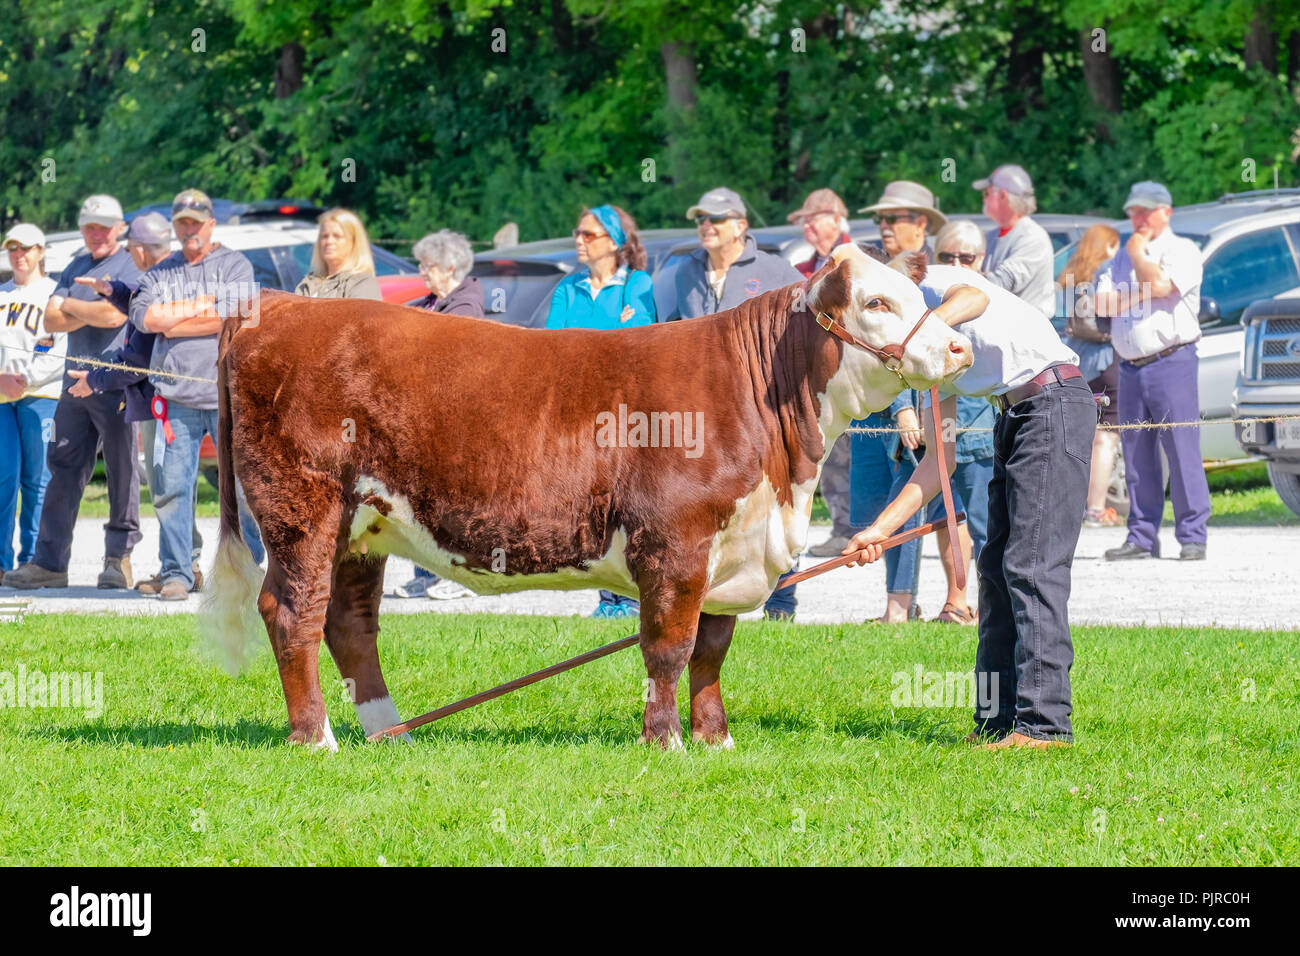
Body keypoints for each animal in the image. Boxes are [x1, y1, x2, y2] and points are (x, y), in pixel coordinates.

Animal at [202, 247, 972, 754]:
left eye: (916, 292)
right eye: (877, 303)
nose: (961, 349)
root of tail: (280, 305)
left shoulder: (732, 548)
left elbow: (712, 650)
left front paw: (716, 741)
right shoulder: (676, 541)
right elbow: (669, 646)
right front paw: (666, 744)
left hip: (363, 526)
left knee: (351, 626)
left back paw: (388, 731)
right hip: (302, 510)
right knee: (293, 614)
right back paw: (315, 739)